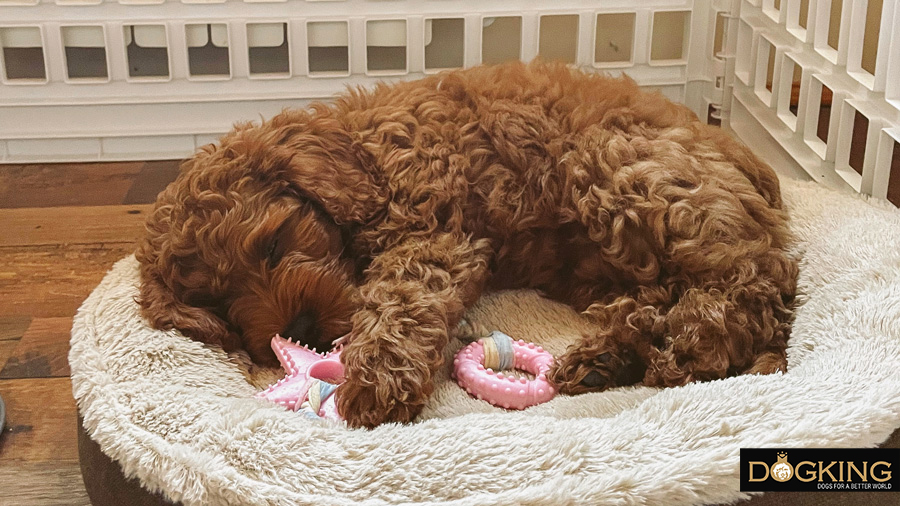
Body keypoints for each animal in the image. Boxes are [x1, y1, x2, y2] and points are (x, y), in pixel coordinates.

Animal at [137, 61, 800, 428]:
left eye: (274, 244)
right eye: (220, 305)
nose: (299, 326)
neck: (366, 155)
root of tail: (750, 162)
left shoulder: (435, 237)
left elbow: (401, 300)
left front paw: (375, 381)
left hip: (625, 172)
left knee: (749, 287)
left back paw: (682, 348)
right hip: (607, 257)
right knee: (673, 295)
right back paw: (607, 355)